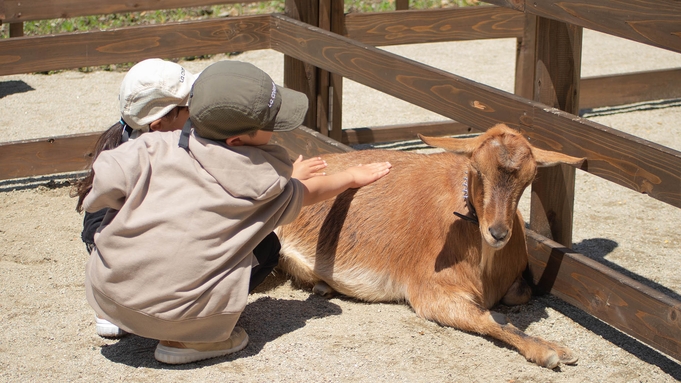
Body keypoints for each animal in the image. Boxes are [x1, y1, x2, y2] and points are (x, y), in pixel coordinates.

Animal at [276, 123, 584, 368]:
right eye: (476, 169)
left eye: (529, 179)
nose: (497, 232)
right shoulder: (428, 290)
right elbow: (487, 318)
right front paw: (549, 350)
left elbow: (522, 293)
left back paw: (322, 285)